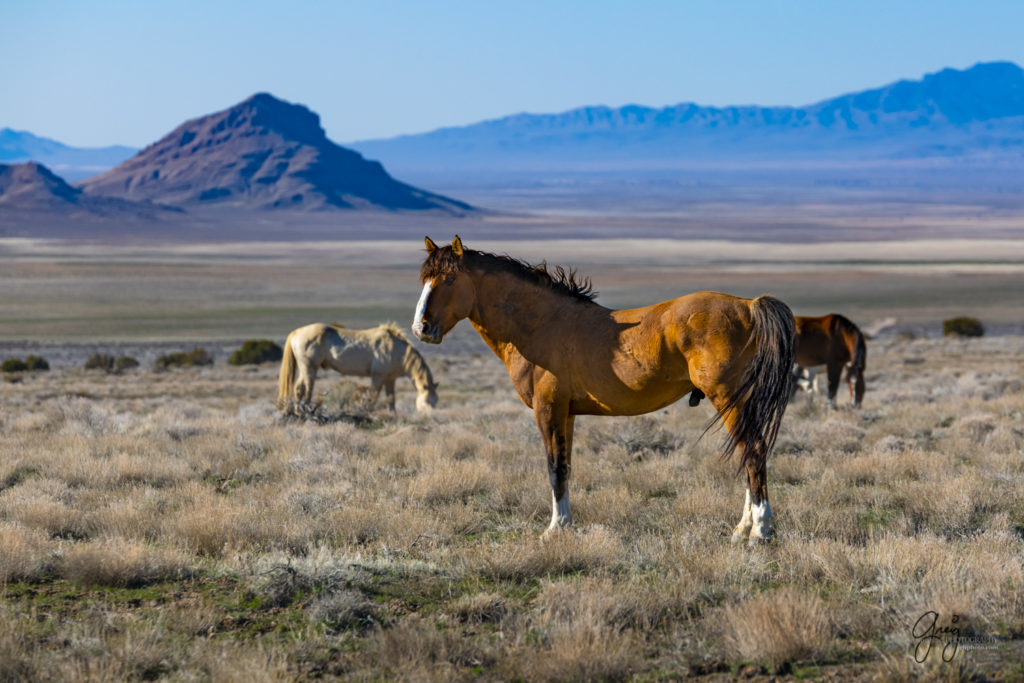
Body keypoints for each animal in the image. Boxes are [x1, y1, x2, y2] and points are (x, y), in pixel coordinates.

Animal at [278, 323, 438, 413]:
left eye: (436, 402)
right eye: (428, 401)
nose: (431, 417)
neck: (397, 350)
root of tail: (297, 332)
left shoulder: (390, 379)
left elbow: (391, 400)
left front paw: (392, 416)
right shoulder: (378, 377)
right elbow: (373, 397)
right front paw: (368, 412)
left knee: (299, 388)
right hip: (309, 368)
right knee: (303, 388)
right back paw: (303, 411)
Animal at [411, 236, 794, 544]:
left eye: (449, 278)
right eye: (424, 279)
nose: (421, 328)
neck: (541, 324)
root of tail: (748, 306)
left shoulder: (547, 409)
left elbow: (554, 467)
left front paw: (554, 528)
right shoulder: (566, 413)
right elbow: (565, 466)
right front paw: (565, 523)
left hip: (727, 397)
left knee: (753, 452)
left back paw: (760, 532)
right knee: (749, 453)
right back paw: (742, 529)